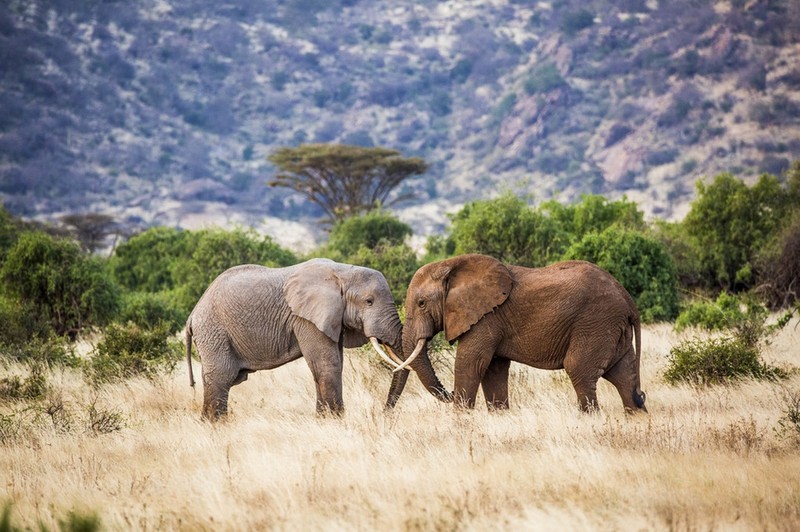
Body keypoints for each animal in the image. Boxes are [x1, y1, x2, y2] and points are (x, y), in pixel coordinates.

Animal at [185, 258, 410, 420]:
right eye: (369, 301)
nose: (383, 413)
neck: (342, 271)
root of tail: (192, 315)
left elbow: (333, 363)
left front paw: (323, 420)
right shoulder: (305, 319)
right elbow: (327, 364)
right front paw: (334, 421)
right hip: (214, 332)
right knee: (222, 376)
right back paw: (216, 425)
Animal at [384, 255, 648, 416]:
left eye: (421, 303)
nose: (386, 413)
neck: (453, 265)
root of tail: (628, 299)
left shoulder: (486, 317)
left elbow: (471, 362)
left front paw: (460, 418)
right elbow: (493, 369)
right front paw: (499, 416)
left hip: (595, 322)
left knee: (580, 370)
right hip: (612, 329)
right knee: (623, 376)